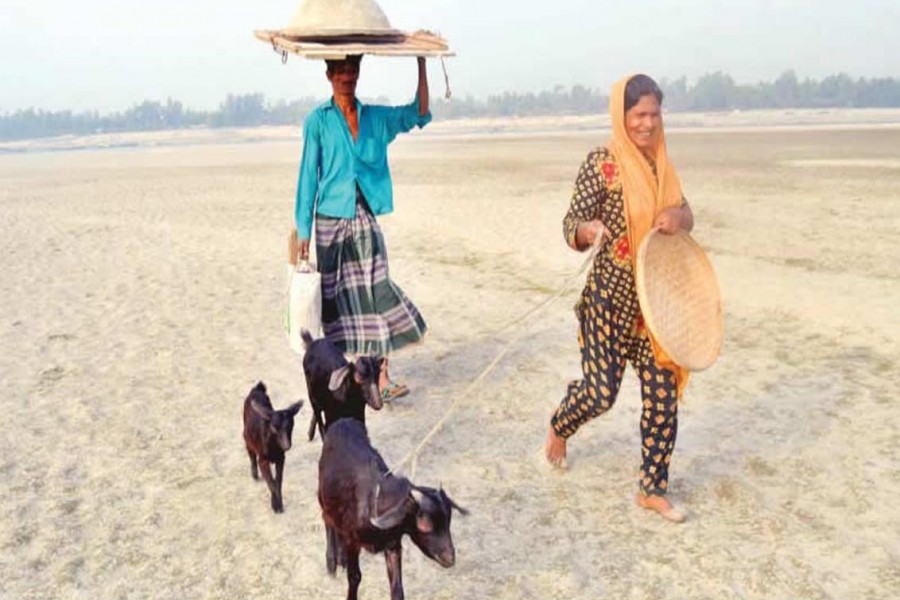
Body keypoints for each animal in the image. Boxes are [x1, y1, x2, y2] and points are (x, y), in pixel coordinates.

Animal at [241, 382, 300, 512]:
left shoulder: (281, 459)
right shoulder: (263, 460)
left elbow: (278, 481)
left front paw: (279, 505)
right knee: (251, 453)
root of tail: (257, 388)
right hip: (246, 436)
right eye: (274, 427)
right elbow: (271, 482)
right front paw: (276, 506)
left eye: (291, 425)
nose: (287, 445)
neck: (274, 448)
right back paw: (254, 475)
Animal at [320, 418, 468, 600]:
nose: (450, 559)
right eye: (425, 525)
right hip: (322, 492)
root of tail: (343, 421)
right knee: (326, 519)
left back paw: (341, 558)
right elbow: (355, 576)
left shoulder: (393, 545)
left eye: (449, 522)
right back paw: (332, 561)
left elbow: (397, 589)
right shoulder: (353, 541)